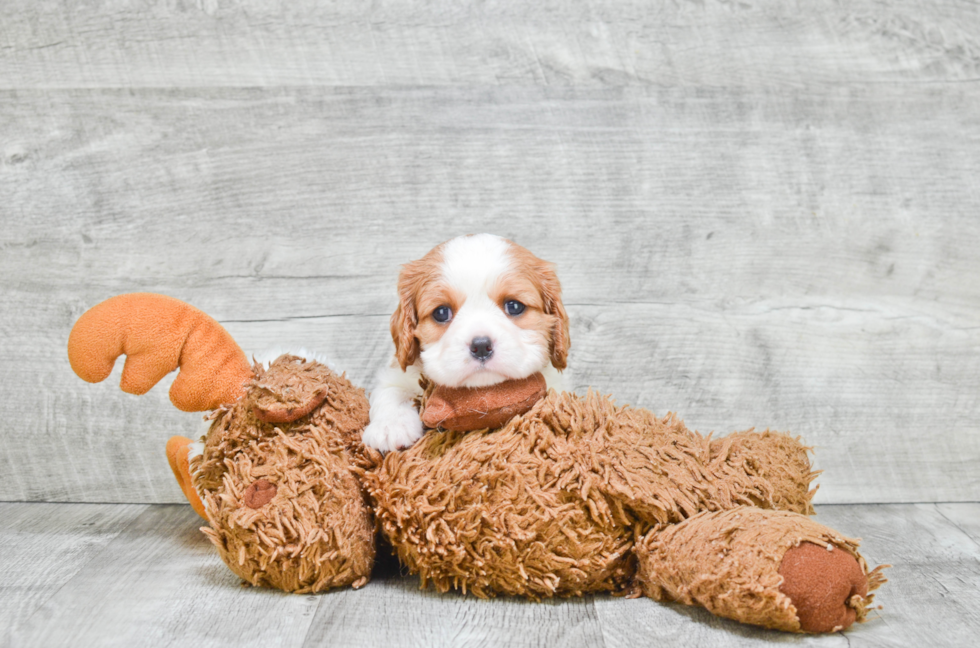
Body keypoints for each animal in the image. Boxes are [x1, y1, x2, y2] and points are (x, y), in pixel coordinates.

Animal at [364, 235, 572, 454]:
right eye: (441, 312)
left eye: (514, 306)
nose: (481, 346)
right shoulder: (397, 372)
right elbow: (390, 389)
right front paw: (390, 425)